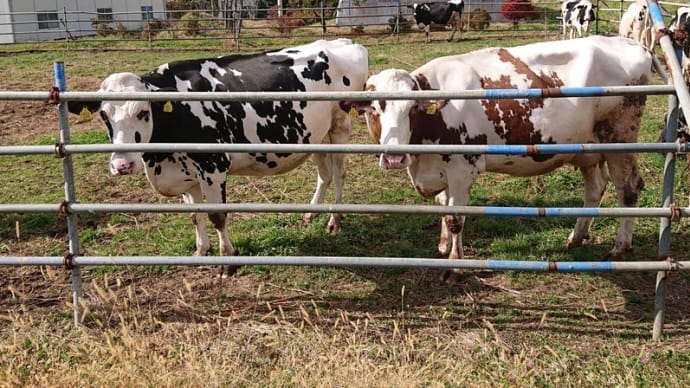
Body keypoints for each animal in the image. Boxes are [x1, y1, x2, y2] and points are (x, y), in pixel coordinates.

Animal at [68, 39, 368, 274]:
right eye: (103, 115)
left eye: (143, 112)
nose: (122, 164)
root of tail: (342, 42)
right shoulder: (186, 173)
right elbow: (194, 214)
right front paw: (201, 251)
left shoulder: (213, 166)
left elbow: (217, 216)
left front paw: (227, 262)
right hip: (317, 135)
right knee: (324, 174)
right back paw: (310, 213)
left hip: (340, 127)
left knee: (339, 174)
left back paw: (334, 220)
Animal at [342, 36, 652, 284]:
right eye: (373, 108)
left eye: (413, 108)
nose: (394, 157)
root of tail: (629, 42)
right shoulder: (441, 169)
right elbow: (442, 206)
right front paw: (443, 247)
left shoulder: (463, 168)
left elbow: (455, 218)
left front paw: (455, 267)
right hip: (587, 149)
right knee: (595, 189)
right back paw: (576, 236)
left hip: (620, 139)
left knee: (628, 188)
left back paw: (620, 246)